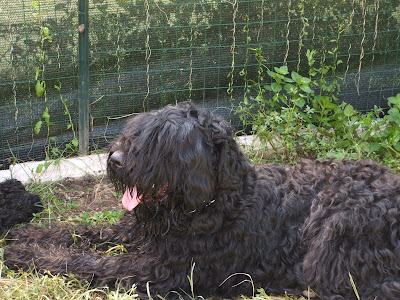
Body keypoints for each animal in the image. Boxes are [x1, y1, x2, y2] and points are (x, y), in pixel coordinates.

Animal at [2, 102, 400, 298]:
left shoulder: (162, 271)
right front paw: (26, 237)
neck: (216, 205)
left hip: (335, 229)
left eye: (165, 142)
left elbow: (87, 263)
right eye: (138, 129)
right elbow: (77, 234)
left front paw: (21, 255)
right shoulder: (136, 235)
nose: (115, 160)